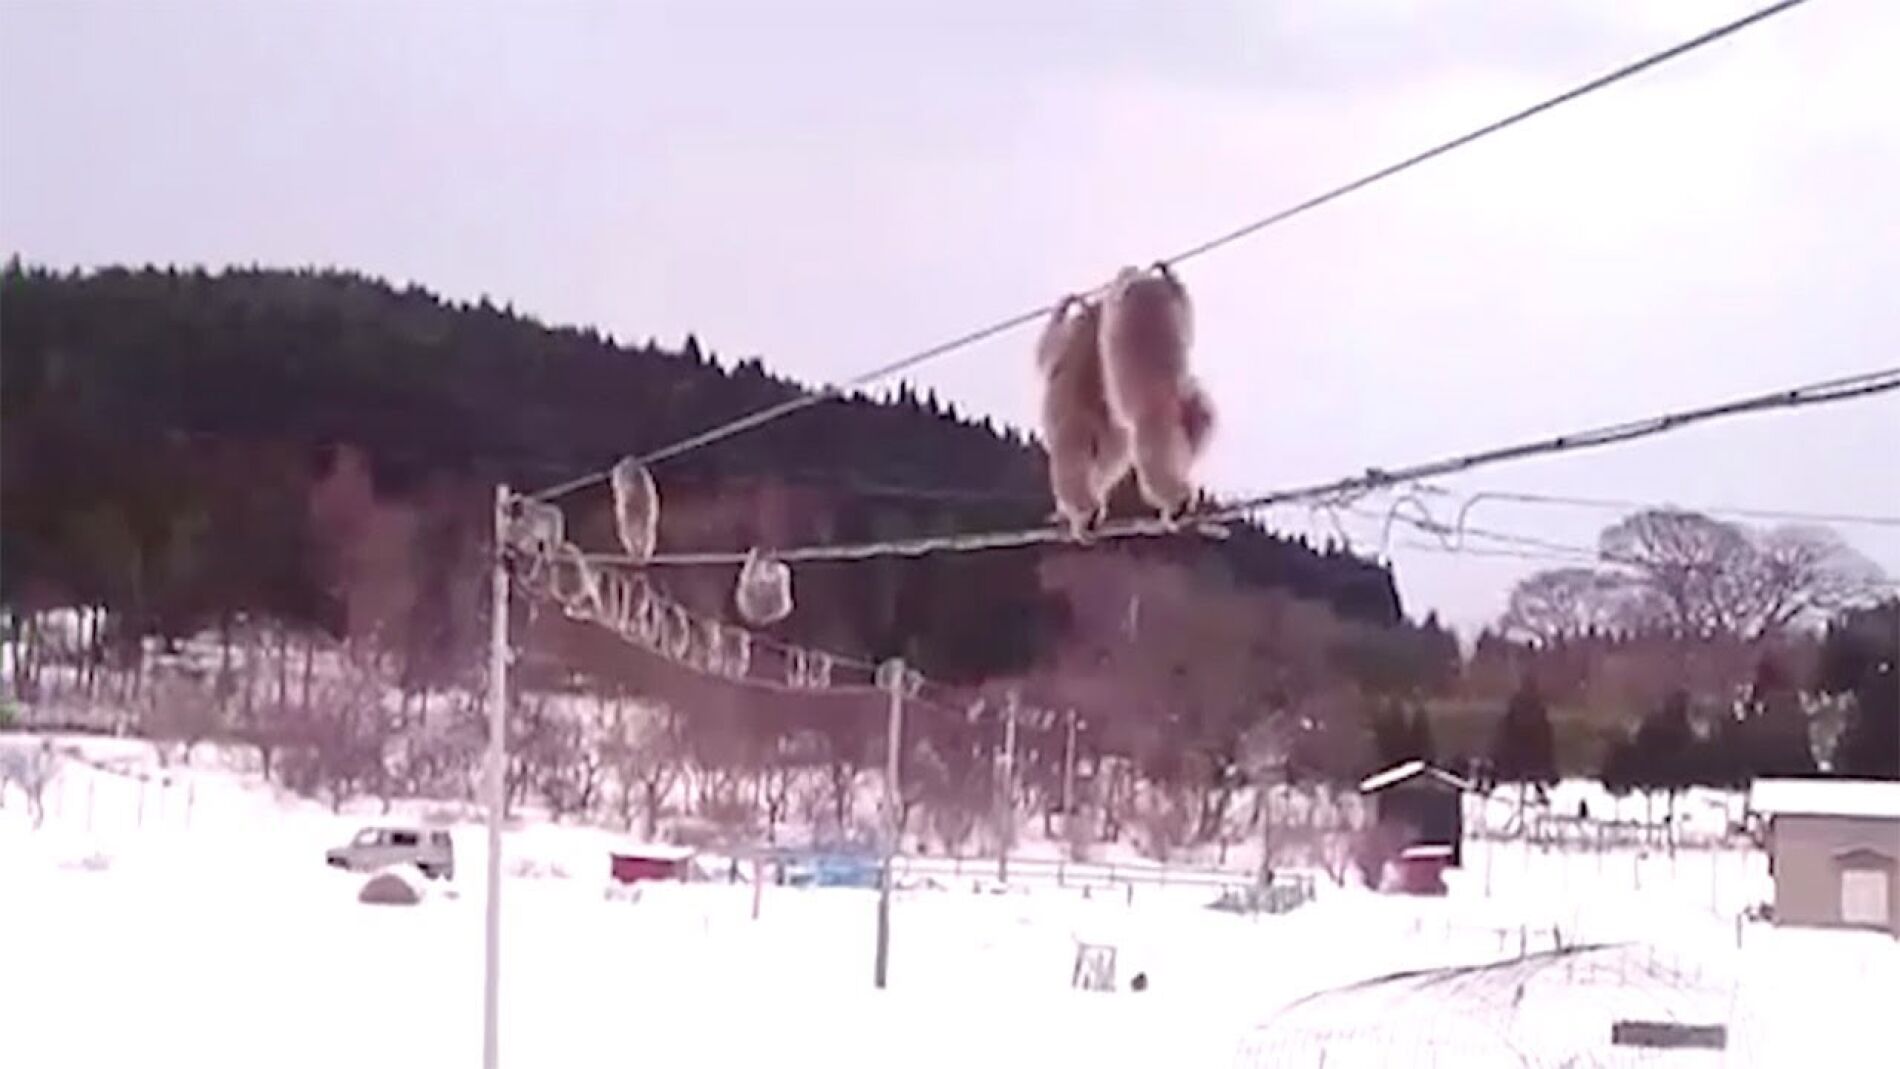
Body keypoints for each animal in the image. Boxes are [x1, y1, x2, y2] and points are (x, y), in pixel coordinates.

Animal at [1036, 294, 1132, 540]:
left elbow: (1045, 348)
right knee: (1097, 476)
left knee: (1071, 478)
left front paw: (1065, 305)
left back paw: (1083, 518)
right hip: (1112, 450)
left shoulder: (1064, 342)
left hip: (1072, 443)